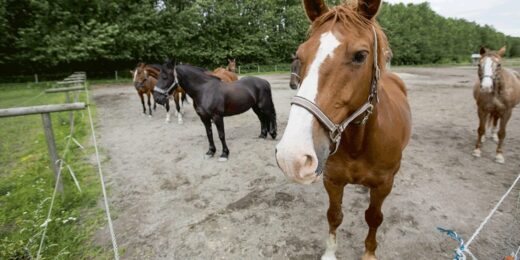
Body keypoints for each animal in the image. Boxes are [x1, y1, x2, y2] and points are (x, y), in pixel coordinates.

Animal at [274, 1, 412, 258]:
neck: (359, 143)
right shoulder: (333, 181)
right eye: (298, 55)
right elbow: (334, 215)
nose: (292, 157)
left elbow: (374, 217)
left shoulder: (384, 184)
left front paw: (369, 253)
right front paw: (329, 253)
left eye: (360, 56)